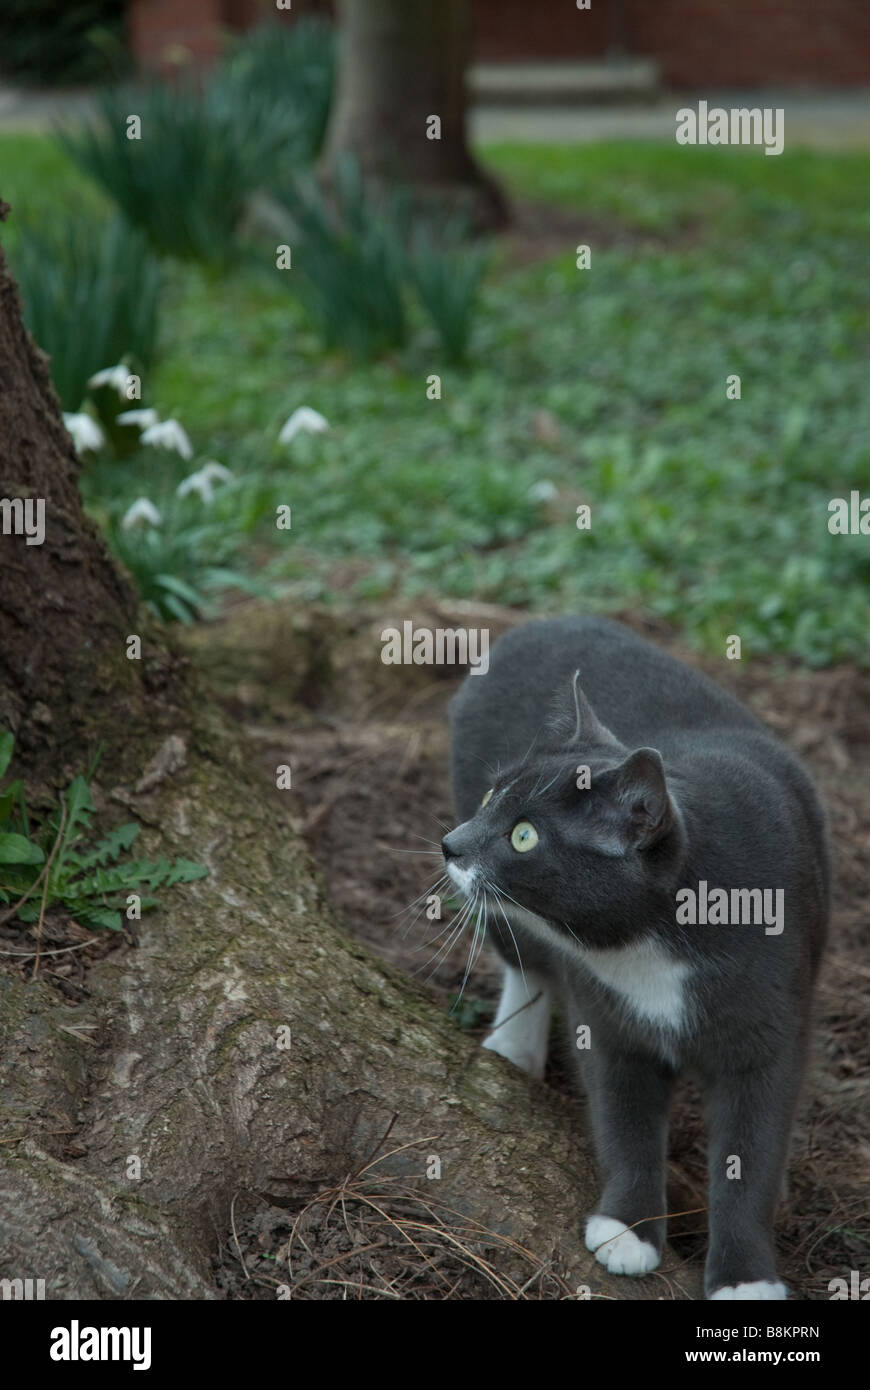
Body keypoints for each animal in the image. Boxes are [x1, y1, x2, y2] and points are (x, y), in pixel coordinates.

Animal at [444, 614, 822, 1295]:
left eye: (524, 835)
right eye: (491, 798)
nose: (450, 844)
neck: (653, 940)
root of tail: (538, 622)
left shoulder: (775, 1024)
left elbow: (753, 1146)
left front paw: (745, 1276)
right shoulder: (608, 1016)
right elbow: (624, 1115)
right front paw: (626, 1231)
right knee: (523, 958)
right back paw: (511, 1049)